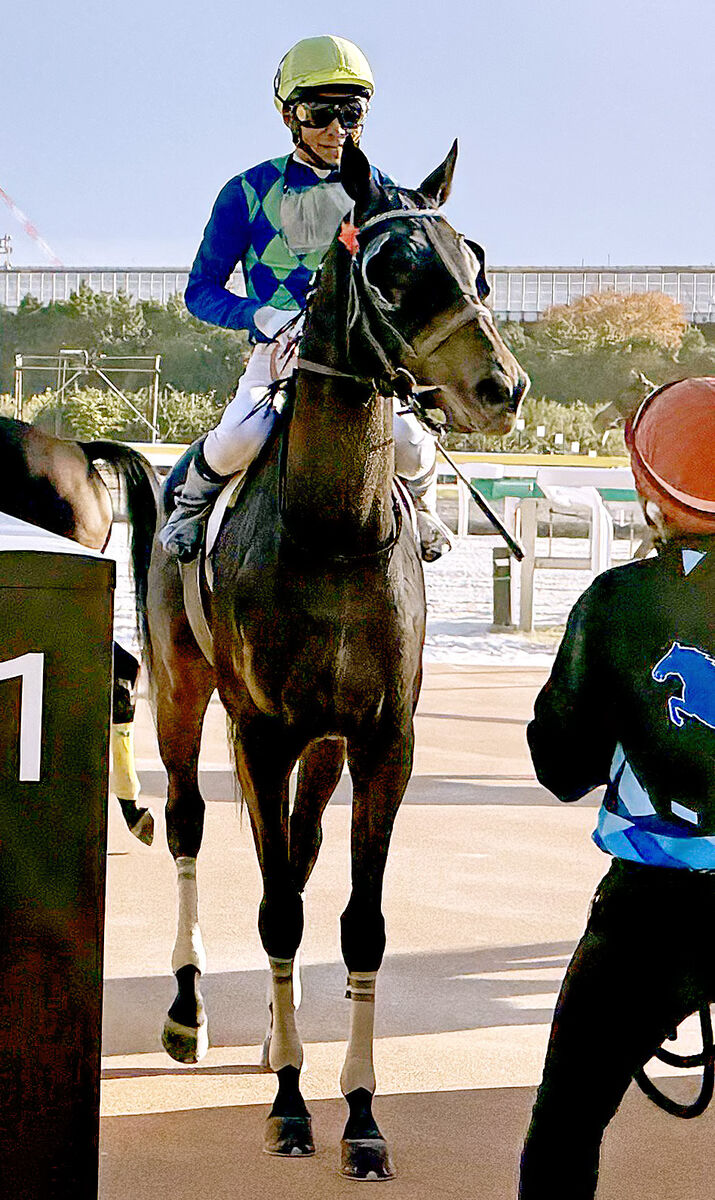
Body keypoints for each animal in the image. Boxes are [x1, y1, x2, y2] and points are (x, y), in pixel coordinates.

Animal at [142, 140, 527, 1180]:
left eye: (476, 259)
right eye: (391, 268)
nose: (501, 388)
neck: (332, 532)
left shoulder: (382, 739)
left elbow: (358, 920)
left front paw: (357, 1111)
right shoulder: (263, 732)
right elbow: (276, 908)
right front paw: (289, 1106)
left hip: (320, 745)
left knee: (301, 849)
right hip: (182, 695)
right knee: (189, 823)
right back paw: (191, 1011)